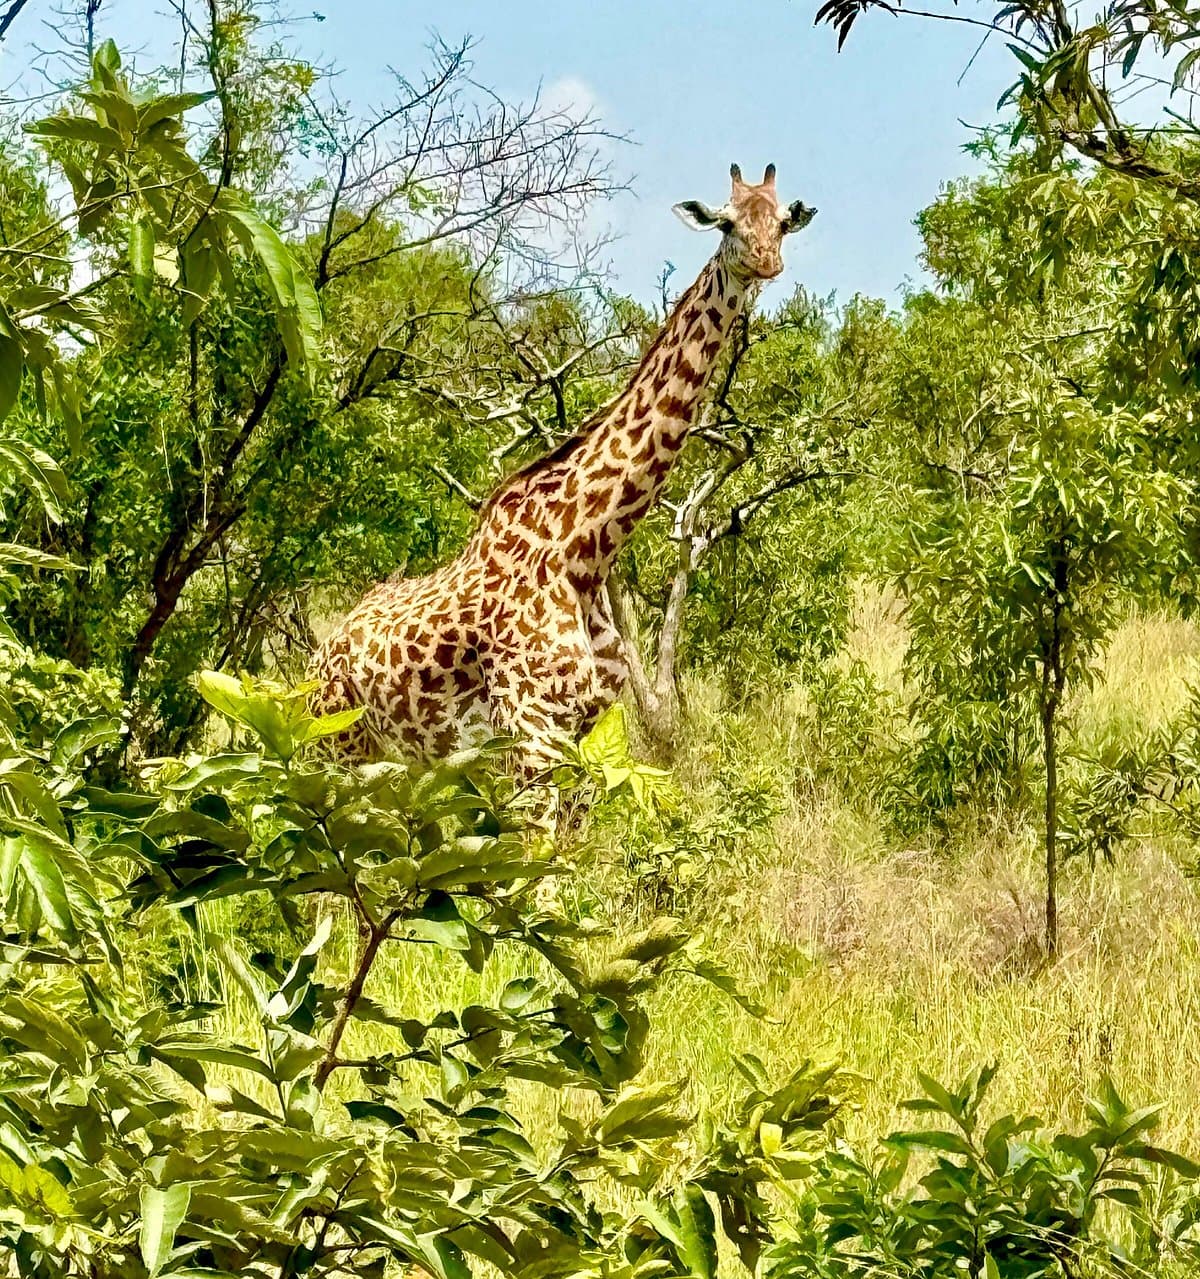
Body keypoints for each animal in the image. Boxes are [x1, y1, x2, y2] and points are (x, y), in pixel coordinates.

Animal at [309, 163, 816, 770]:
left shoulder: (585, 727)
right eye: (726, 222)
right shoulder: (531, 729)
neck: (585, 549)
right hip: (335, 742)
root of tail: (318, 657)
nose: (766, 261)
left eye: (783, 222)